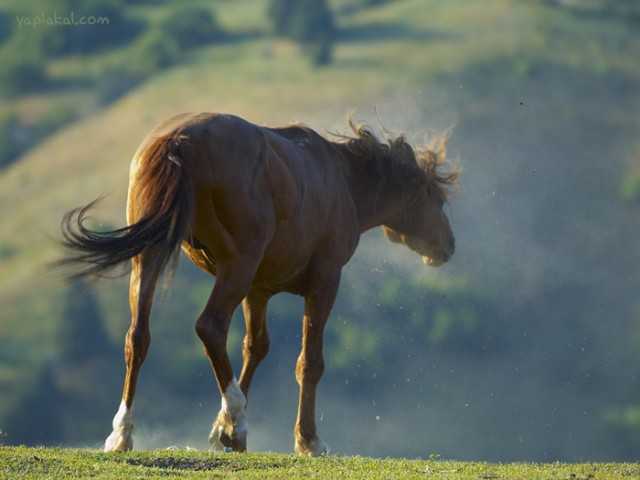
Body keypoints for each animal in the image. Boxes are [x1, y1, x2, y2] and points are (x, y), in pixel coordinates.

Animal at [57, 112, 458, 458]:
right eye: (436, 199)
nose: (448, 246)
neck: (339, 178)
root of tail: (179, 141)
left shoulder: (258, 290)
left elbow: (255, 348)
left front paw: (224, 429)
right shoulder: (324, 282)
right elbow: (309, 362)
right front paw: (305, 439)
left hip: (151, 258)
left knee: (138, 336)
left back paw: (123, 432)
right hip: (237, 265)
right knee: (210, 326)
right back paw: (237, 415)